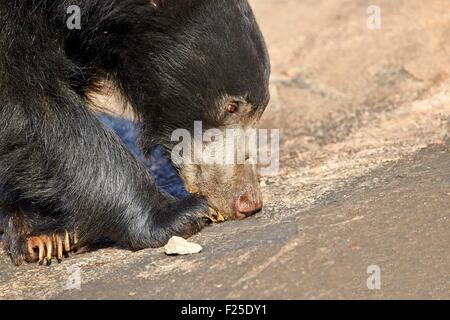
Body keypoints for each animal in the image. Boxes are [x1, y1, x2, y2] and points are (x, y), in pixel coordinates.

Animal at [0, 0, 270, 264]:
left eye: (259, 112)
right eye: (231, 106)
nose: (248, 202)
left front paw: (48, 231)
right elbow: (29, 102)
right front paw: (180, 214)